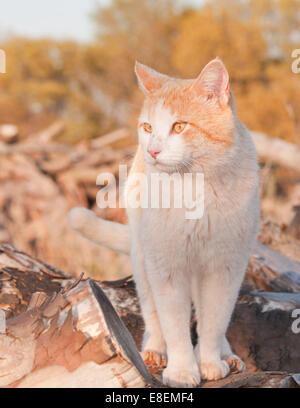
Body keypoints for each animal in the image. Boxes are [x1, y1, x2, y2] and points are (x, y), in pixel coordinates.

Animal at [68, 56, 260, 386]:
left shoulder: (225, 266)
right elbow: (174, 324)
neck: (195, 187)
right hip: (143, 258)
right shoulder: (166, 266)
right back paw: (154, 351)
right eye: (147, 127)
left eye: (180, 126)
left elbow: (214, 321)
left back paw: (227, 356)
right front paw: (182, 370)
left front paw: (209, 362)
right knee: (153, 314)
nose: (153, 150)